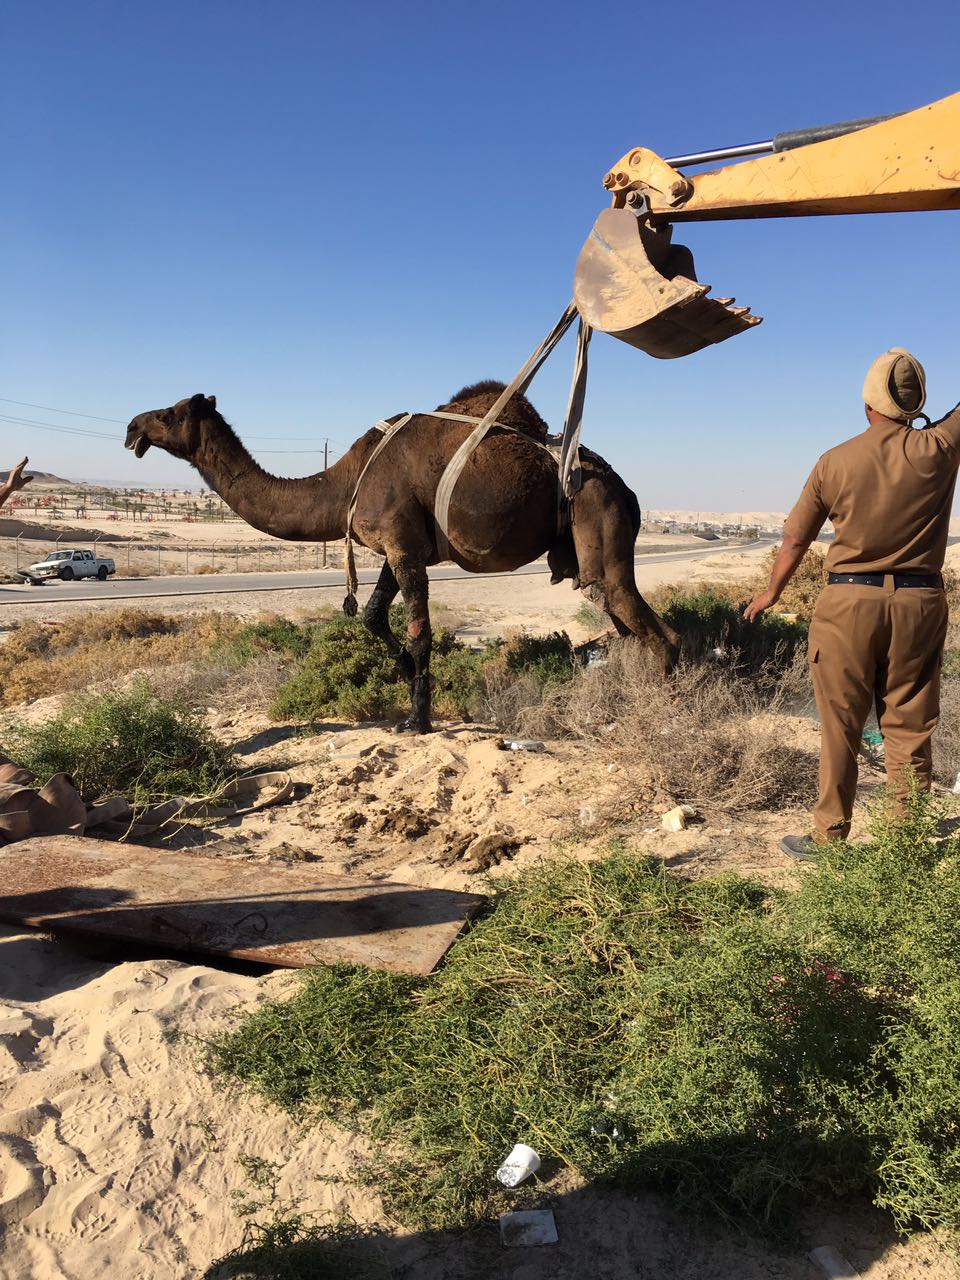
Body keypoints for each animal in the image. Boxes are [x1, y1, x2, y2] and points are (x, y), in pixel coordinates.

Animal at [128, 384, 680, 732]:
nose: (133, 426)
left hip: (598, 517)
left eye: (170, 414)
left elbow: (420, 632)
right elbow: (373, 616)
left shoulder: (402, 545)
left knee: (648, 624)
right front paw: (406, 676)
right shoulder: (396, 548)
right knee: (632, 626)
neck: (344, 483)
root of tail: (627, 490)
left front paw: (418, 718)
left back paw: (659, 714)